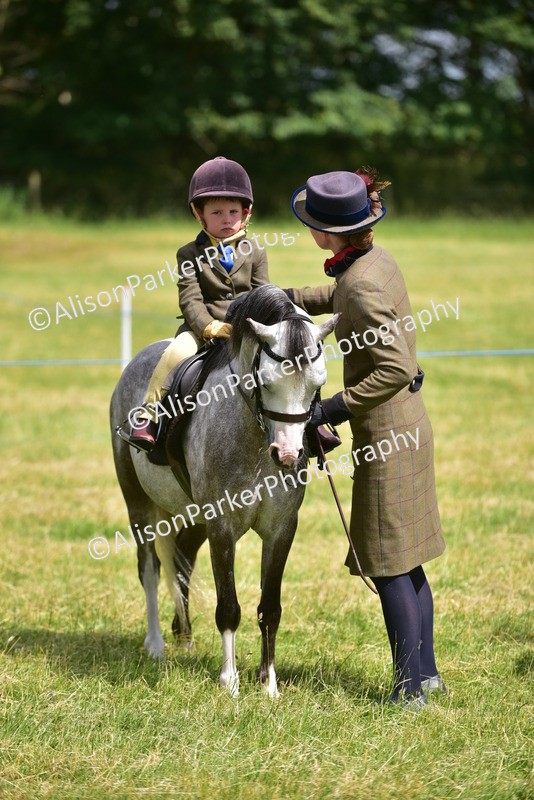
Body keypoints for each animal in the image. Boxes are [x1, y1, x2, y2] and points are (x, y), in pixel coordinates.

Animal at [110, 284, 338, 697]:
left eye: (318, 385)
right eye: (266, 382)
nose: (288, 455)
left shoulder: (281, 530)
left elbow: (270, 607)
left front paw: (269, 684)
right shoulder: (222, 527)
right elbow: (229, 607)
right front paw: (230, 682)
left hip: (192, 517)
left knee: (181, 564)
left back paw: (184, 637)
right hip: (140, 506)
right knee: (150, 569)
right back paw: (155, 644)